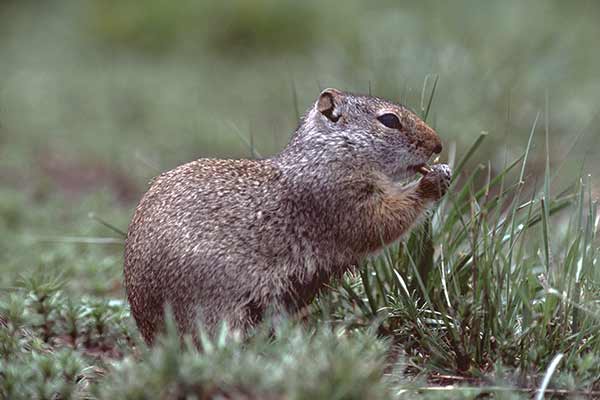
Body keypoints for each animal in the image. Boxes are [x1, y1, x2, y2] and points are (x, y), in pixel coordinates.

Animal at [123, 87, 450, 344]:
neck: (330, 152)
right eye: (389, 120)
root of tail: (153, 334)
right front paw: (432, 181)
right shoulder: (340, 198)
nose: (438, 144)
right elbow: (381, 221)